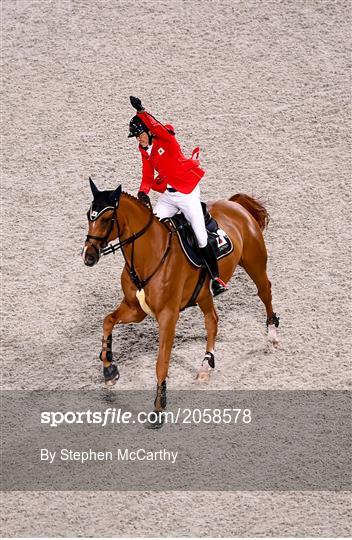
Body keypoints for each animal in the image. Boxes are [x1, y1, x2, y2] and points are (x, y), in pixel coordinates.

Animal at [82, 180, 278, 414]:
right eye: (89, 216)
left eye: (106, 219)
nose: (88, 256)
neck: (148, 256)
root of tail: (235, 205)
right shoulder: (135, 309)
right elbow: (108, 321)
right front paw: (109, 370)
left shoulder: (168, 316)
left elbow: (161, 362)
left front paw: (159, 407)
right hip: (204, 294)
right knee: (212, 321)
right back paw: (206, 365)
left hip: (254, 263)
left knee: (265, 292)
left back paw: (272, 336)